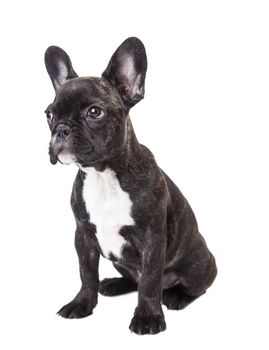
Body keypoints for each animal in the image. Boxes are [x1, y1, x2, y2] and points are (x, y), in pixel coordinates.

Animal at [43, 37, 216, 334]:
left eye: (94, 112)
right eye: (49, 115)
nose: (61, 129)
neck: (103, 176)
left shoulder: (151, 239)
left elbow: (149, 281)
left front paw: (148, 318)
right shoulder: (84, 237)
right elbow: (86, 274)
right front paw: (82, 304)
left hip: (197, 264)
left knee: (193, 287)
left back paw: (176, 296)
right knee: (132, 278)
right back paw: (114, 284)